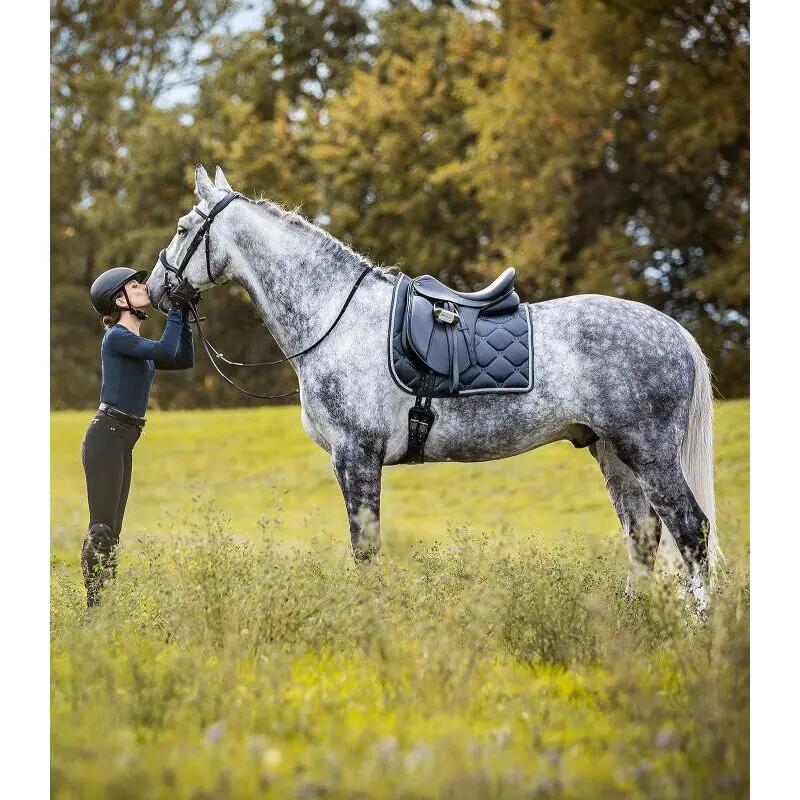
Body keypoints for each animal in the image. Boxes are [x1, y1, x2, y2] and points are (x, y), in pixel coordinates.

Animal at [147, 165, 719, 614]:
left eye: (182, 227)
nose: (154, 289)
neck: (337, 317)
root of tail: (674, 332)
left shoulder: (356, 455)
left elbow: (365, 547)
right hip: (612, 452)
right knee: (643, 534)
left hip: (648, 451)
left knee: (691, 530)